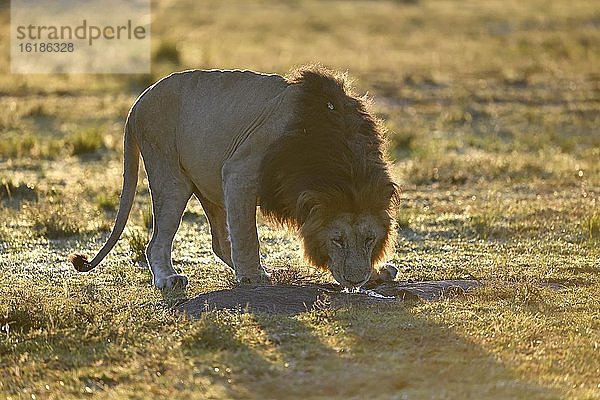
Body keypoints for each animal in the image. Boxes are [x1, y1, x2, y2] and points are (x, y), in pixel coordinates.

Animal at [68, 65, 398, 290]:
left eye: (370, 239)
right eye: (337, 240)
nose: (355, 280)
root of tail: (137, 103)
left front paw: (377, 273)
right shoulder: (240, 170)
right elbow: (248, 235)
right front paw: (252, 277)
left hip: (209, 186)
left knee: (219, 242)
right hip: (169, 173)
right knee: (158, 241)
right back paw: (169, 279)